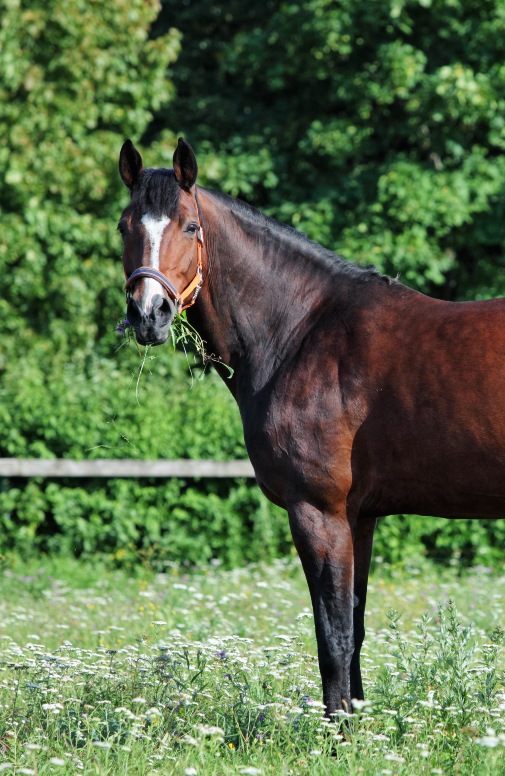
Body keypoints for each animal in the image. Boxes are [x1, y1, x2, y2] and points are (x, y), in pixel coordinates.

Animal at [117, 137, 505, 716]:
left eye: (189, 226)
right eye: (125, 225)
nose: (149, 314)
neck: (300, 330)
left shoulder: (319, 514)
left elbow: (334, 637)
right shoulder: (360, 518)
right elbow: (355, 632)